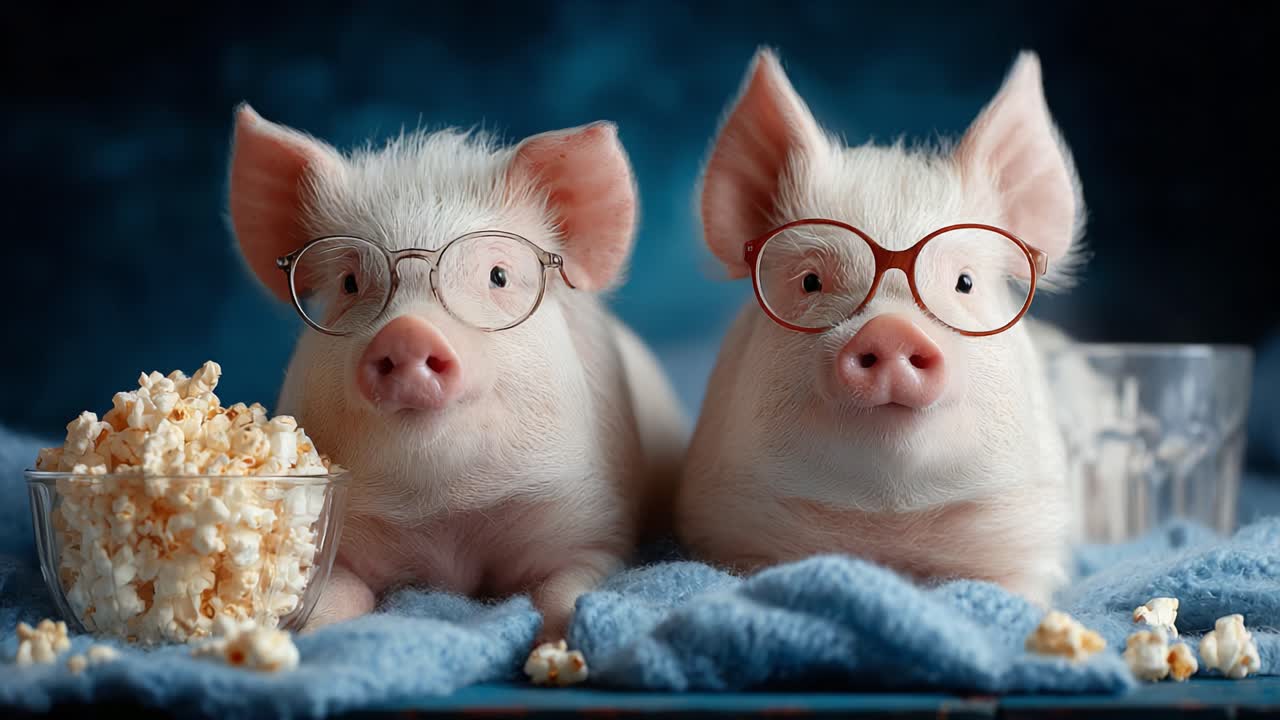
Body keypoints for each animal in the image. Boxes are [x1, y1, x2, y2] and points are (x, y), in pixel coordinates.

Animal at [227, 105, 687, 641]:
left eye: (499, 276)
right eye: (349, 283)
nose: (407, 332)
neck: (446, 521)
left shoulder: (593, 522)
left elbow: (565, 588)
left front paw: (556, 646)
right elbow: (334, 593)